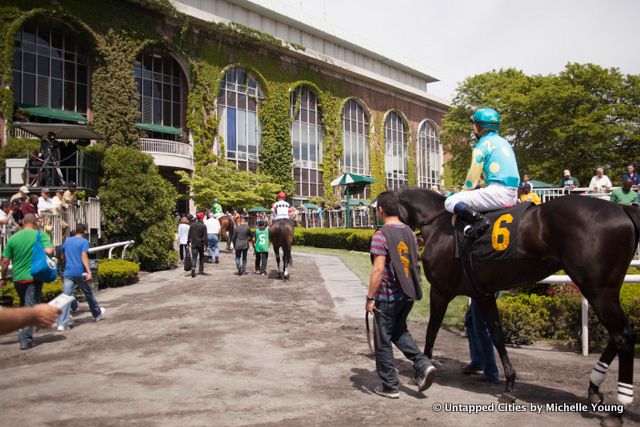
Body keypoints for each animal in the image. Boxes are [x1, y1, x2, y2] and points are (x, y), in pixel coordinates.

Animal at [398, 189, 636, 426]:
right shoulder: (482, 295)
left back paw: (617, 411)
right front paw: (509, 384)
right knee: (619, 333)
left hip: (597, 288)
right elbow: (497, 335)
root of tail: (623, 208)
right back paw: (594, 389)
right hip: (604, 290)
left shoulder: (440, 291)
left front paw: (421, 372)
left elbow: (431, 331)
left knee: (623, 335)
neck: (438, 225)